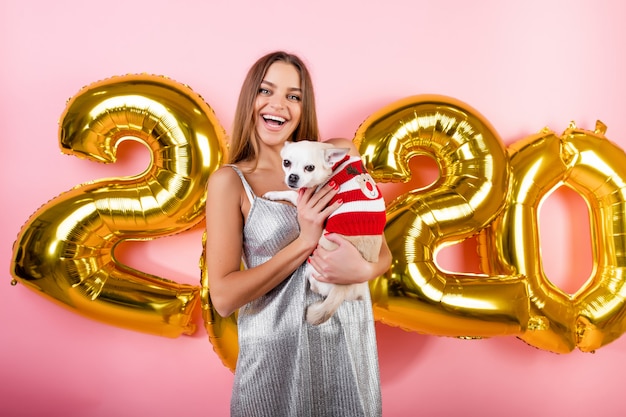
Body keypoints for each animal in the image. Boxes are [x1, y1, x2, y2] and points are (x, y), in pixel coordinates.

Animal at [260, 141, 382, 324]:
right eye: (286, 163)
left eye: (310, 168)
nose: (293, 177)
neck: (334, 166)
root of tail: (342, 289)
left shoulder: (307, 200)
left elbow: (292, 193)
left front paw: (274, 194)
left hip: (313, 268)